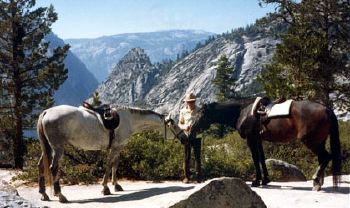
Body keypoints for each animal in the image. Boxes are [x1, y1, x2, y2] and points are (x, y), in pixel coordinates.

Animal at [37, 105, 186, 202]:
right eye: (173, 125)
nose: (184, 138)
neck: (129, 120)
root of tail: (46, 112)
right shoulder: (116, 148)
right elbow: (109, 165)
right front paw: (105, 188)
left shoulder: (118, 147)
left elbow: (115, 164)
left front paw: (116, 185)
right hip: (58, 148)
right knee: (53, 168)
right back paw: (60, 195)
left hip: (47, 148)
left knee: (40, 166)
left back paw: (44, 194)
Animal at [191, 98, 342, 191]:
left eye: (201, 114)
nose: (191, 128)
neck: (243, 112)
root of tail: (326, 109)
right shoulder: (258, 139)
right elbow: (262, 158)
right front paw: (265, 180)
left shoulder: (251, 139)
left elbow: (255, 159)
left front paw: (256, 181)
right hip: (319, 141)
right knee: (323, 158)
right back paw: (319, 182)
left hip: (311, 141)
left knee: (327, 157)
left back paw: (316, 181)